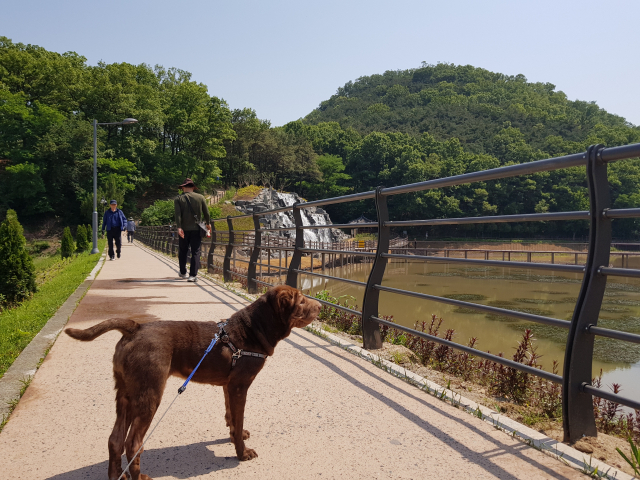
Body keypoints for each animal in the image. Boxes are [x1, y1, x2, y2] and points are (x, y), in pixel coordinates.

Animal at [65, 284, 320, 480]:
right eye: (302, 300)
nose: (320, 306)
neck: (253, 328)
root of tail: (134, 328)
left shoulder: (229, 386)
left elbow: (231, 418)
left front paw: (236, 435)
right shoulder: (240, 386)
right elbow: (237, 422)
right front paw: (242, 453)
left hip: (126, 394)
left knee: (115, 440)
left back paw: (118, 475)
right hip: (149, 394)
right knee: (133, 443)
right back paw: (139, 477)